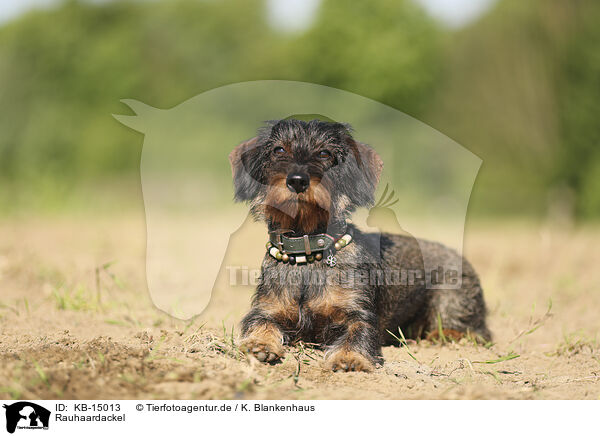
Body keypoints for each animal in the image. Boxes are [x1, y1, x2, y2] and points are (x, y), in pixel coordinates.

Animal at [227, 119, 490, 372]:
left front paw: (349, 358)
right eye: (279, 150)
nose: (297, 181)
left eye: (325, 153)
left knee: (474, 331)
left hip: (453, 297)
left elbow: (358, 332)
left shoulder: (358, 312)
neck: (307, 252)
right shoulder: (267, 308)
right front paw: (259, 344)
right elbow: (259, 322)